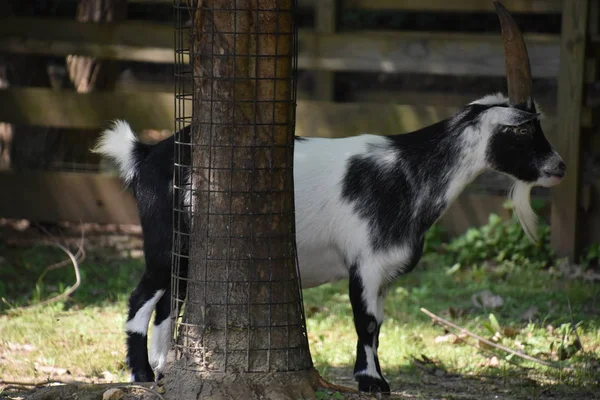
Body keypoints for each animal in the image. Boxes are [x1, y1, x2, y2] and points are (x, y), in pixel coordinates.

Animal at [94, 2, 568, 394]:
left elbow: (378, 324)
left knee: (167, 303)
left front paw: (372, 377)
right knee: (141, 299)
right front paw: (372, 382)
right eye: (524, 129)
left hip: (188, 255)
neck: (408, 170)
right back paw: (142, 374)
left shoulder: (382, 269)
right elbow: (367, 321)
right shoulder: (366, 261)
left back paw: (162, 368)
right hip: (165, 240)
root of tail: (146, 155)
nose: (559, 167)